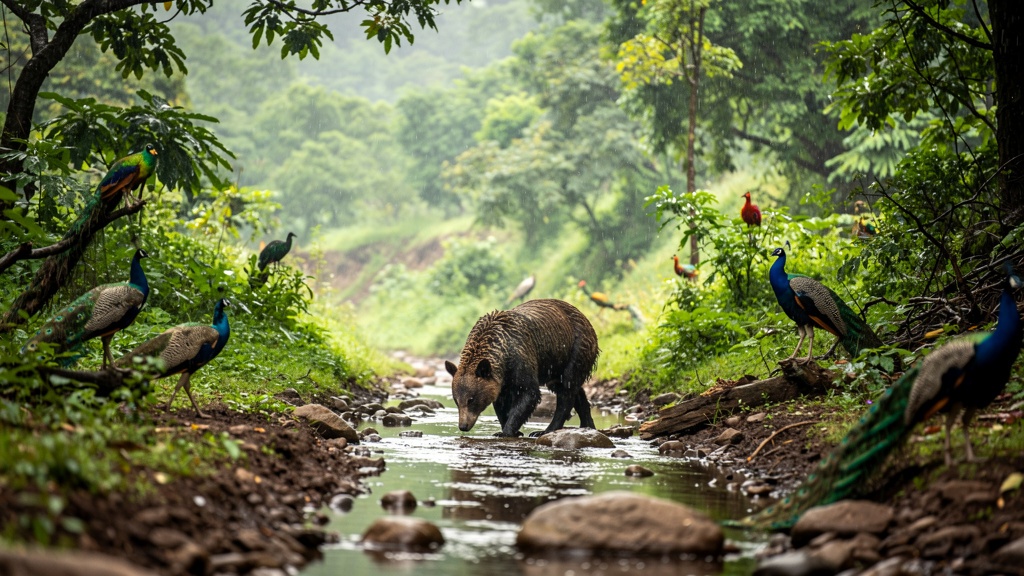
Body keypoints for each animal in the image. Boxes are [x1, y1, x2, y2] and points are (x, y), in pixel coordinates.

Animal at [444, 298, 600, 437]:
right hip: (557, 365)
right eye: (456, 400)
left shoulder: (521, 359)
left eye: (471, 399)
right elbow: (500, 402)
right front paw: (507, 429)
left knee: (567, 389)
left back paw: (545, 430)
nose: (463, 426)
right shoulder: (501, 379)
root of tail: (585, 318)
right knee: (573, 390)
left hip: (574, 350)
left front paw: (507, 431)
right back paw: (587, 425)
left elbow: (528, 393)